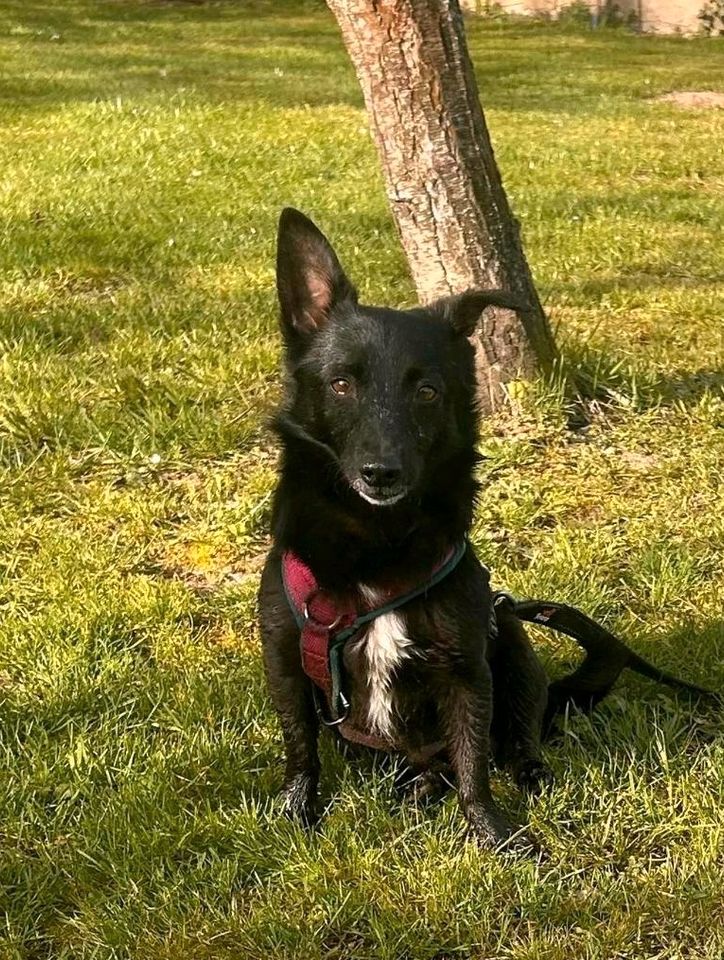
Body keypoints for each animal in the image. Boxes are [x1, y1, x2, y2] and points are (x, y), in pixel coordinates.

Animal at [258, 210, 708, 848]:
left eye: (427, 392)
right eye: (341, 384)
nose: (381, 472)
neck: (377, 540)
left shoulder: (466, 667)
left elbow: (474, 764)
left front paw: (496, 839)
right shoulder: (285, 658)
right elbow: (300, 749)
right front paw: (297, 814)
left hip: (512, 639)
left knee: (510, 742)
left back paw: (525, 778)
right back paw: (419, 787)